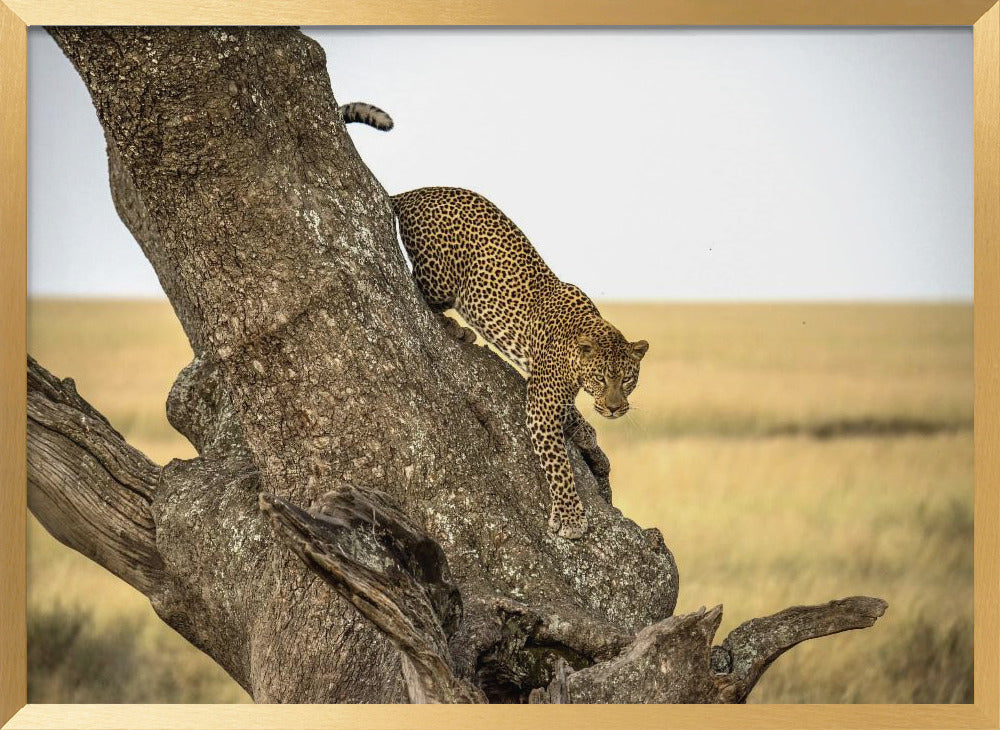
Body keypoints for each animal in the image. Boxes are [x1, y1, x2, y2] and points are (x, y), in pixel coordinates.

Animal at [390, 186, 648, 540]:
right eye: (601, 378)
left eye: (627, 380)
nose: (614, 408)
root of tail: (413, 193)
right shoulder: (542, 401)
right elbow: (559, 465)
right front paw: (571, 518)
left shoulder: (548, 388)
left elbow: (573, 414)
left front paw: (586, 436)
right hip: (440, 277)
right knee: (419, 290)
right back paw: (457, 328)